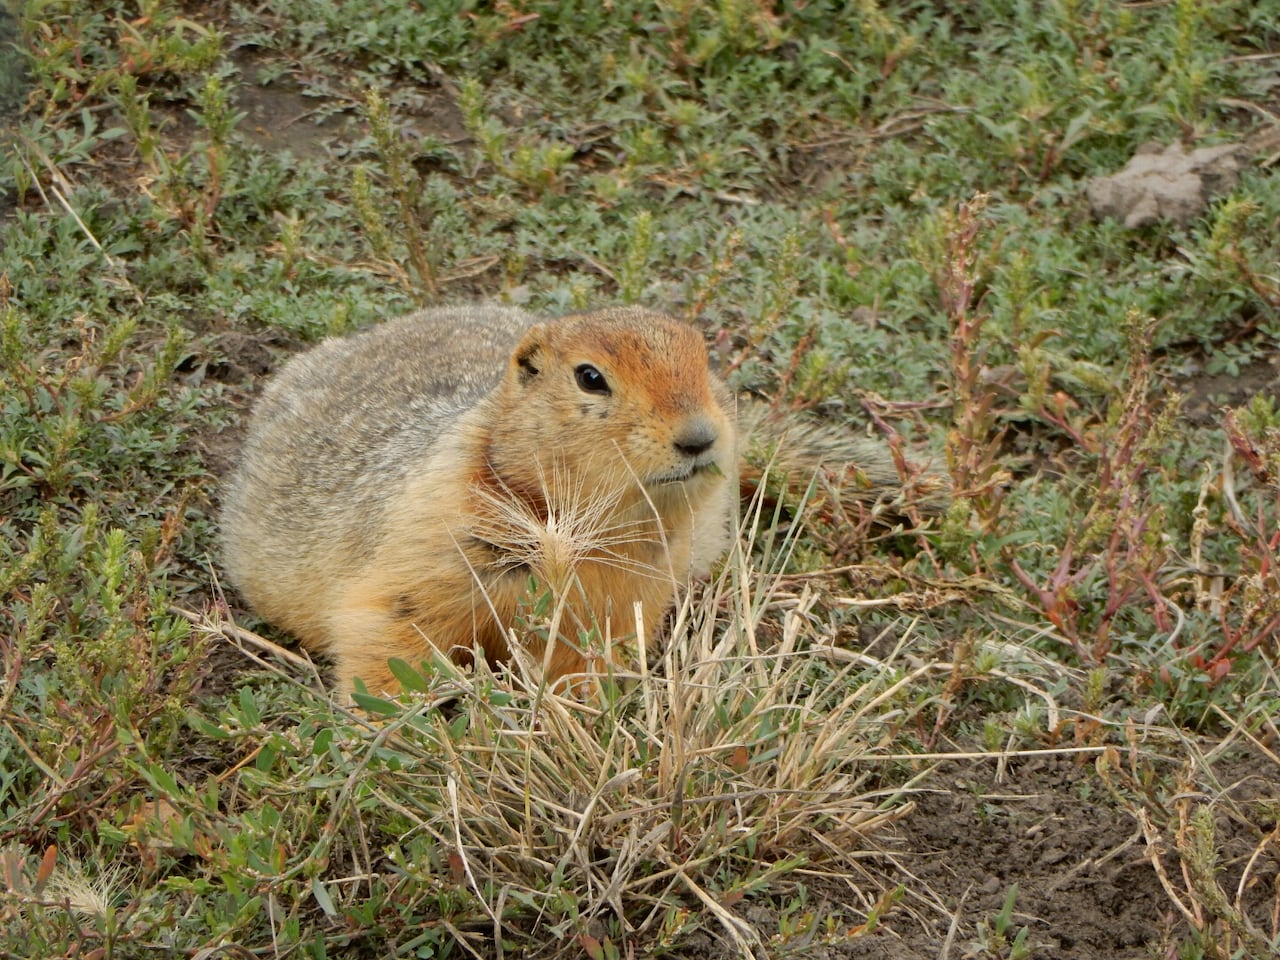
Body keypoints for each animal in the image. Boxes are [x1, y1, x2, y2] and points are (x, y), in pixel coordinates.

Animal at [220, 305, 944, 698]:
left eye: (704, 359)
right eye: (590, 377)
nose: (701, 436)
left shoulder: (629, 591)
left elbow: (589, 655)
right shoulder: (432, 537)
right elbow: (391, 627)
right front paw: (399, 724)